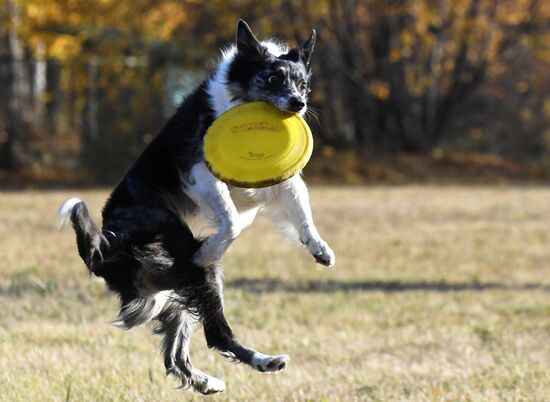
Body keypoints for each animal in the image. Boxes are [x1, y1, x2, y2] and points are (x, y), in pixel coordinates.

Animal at [57, 20, 336, 394]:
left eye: (303, 84)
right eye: (272, 79)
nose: (298, 103)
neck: (239, 95)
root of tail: (106, 250)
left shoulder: (280, 179)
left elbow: (300, 210)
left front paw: (319, 248)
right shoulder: (199, 169)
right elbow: (230, 220)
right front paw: (210, 247)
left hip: (175, 294)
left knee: (176, 354)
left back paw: (211, 380)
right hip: (192, 269)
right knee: (216, 333)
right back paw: (263, 360)